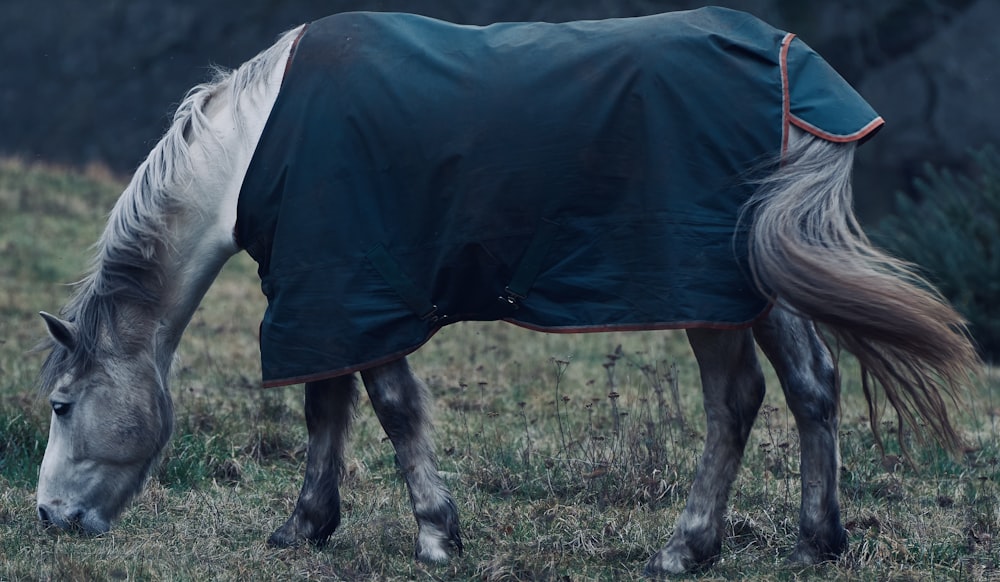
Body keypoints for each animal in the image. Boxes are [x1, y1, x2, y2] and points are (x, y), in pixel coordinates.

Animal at [33, 9, 976, 580]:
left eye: (61, 405)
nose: (47, 517)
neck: (253, 146)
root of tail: (795, 71)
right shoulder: (326, 294)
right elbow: (326, 407)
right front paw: (305, 525)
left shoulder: (355, 288)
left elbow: (389, 407)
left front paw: (435, 534)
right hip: (756, 283)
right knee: (813, 387)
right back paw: (819, 541)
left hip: (703, 288)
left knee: (736, 399)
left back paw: (686, 547)